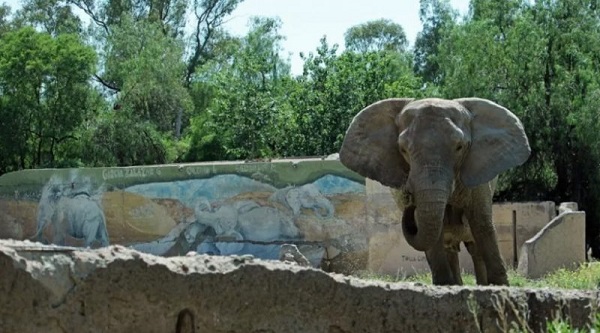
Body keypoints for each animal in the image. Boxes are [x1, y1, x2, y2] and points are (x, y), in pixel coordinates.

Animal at [340, 96, 532, 286]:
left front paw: (500, 286)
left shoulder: (479, 176)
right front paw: (445, 285)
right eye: (403, 149)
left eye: (460, 147)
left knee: (474, 246)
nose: (409, 200)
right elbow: (434, 233)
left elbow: (481, 224)